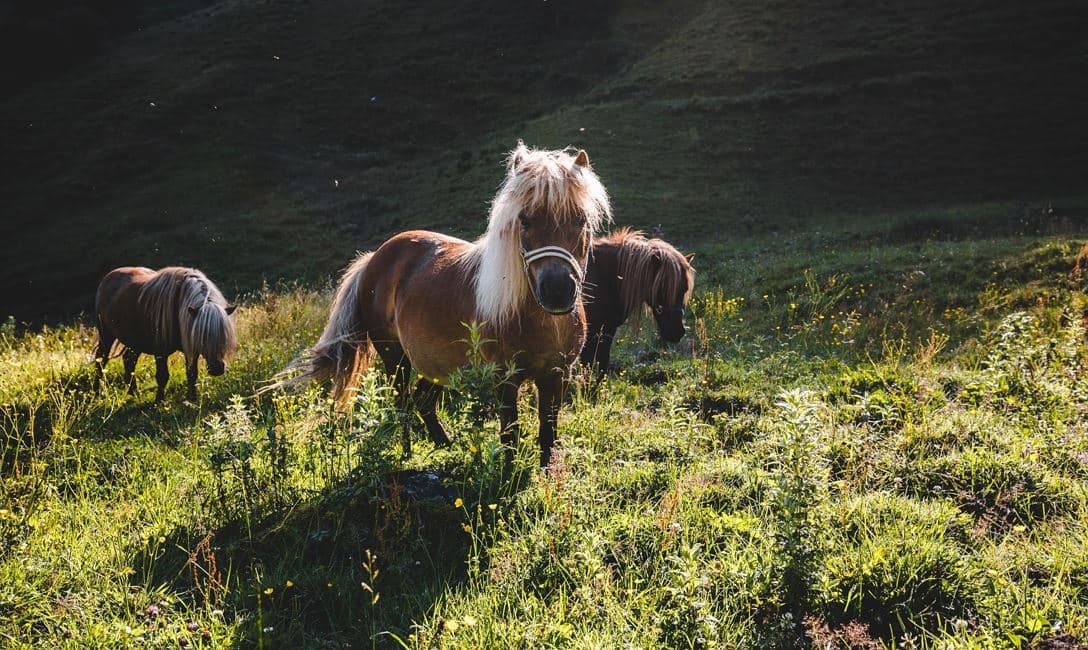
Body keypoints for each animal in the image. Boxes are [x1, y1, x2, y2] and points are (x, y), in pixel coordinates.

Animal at [94, 266, 237, 402]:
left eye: (224, 336)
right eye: (203, 337)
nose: (217, 369)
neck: (178, 308)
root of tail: (108, 277)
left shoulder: (191, 348)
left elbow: (192, 374)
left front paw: (192, 399)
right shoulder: (160, 352)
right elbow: (162, 376)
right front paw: (159, 401)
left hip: (136, 342)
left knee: (128, 360)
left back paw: (133, 393)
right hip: (106, 335)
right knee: (101, 359)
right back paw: (97, 392)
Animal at [280, 143, 611, 468]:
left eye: (581, 220)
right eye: (525, 220)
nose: (557, 291)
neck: (542, 321)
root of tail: (375, 256)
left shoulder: (556, 375)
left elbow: (547, 434)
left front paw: (547, 474)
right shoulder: (504, 379)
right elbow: (510, 435)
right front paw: (508, 475)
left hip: (436, 362)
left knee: (423, 402)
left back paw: (445, 446)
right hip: (395, 357)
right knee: (402, 402)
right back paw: (407, 454)